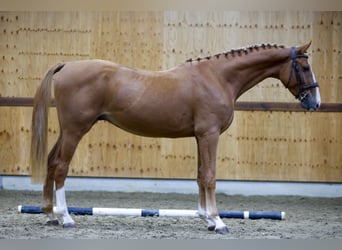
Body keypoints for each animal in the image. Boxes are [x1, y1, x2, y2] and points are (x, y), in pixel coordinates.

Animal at [30, 42, 320, 233]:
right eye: (305, 66)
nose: (315, 103)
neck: (218, 77)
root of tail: (67, 65)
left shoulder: (200, 136)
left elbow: (201, 175)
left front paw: (206, 219)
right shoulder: (209, 135)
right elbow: (210, 176)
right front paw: (219, 221)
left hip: (68, 131)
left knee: (51, 162)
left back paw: (50, 215)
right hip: (76, 130)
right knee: (61, 168)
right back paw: (66, 218)